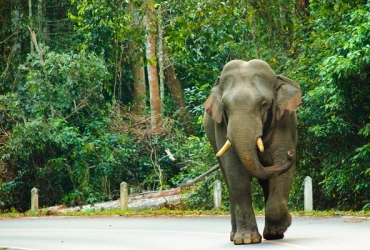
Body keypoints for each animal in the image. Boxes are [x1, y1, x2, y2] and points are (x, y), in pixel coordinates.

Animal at [204, 59, 302, 244]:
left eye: (263, 105)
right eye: (225, 106)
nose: (291, 153)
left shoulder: (283, 122)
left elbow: (282, 172)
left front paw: (283, 224)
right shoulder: (221, 127)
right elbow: (236, 173)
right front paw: (246, 240)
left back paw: (273, 234)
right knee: (229, 182)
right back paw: (234, 236)